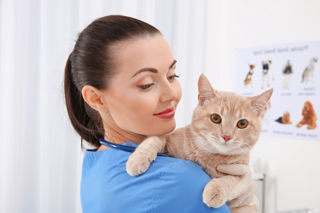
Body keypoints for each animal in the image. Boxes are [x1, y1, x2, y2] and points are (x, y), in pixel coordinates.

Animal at [126, 73, 274, 213]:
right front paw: (137, 160)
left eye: (242, 123)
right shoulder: (169, 138)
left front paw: (215, 191)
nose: (226, 136)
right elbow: (155, 139)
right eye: (215, 118)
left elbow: (230, 180)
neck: (208, 155)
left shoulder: (241, 173)